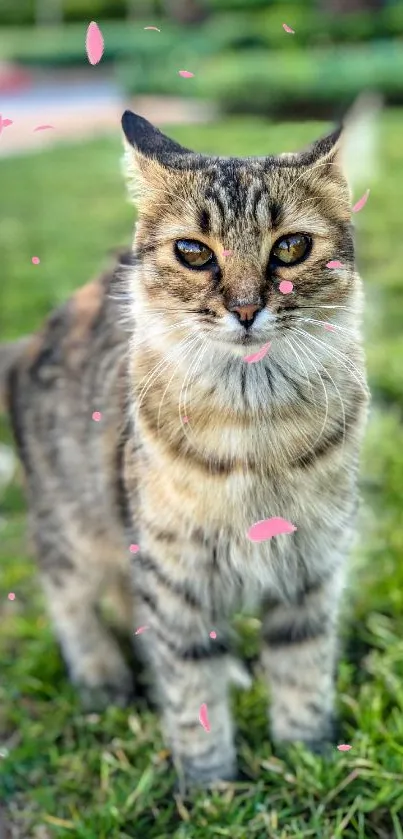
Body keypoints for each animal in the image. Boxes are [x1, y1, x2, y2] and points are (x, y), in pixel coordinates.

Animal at [0, 97, 378, 788]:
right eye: (193, 252)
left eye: (291, 247)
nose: (247, 308)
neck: (256, 427)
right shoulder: (172, 570)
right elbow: (188, 685)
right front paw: (209, 785)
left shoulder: (311, 568)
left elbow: (302, 672)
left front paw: (306, 756)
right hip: (72, 527)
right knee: (72, 601)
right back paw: (102, 678)